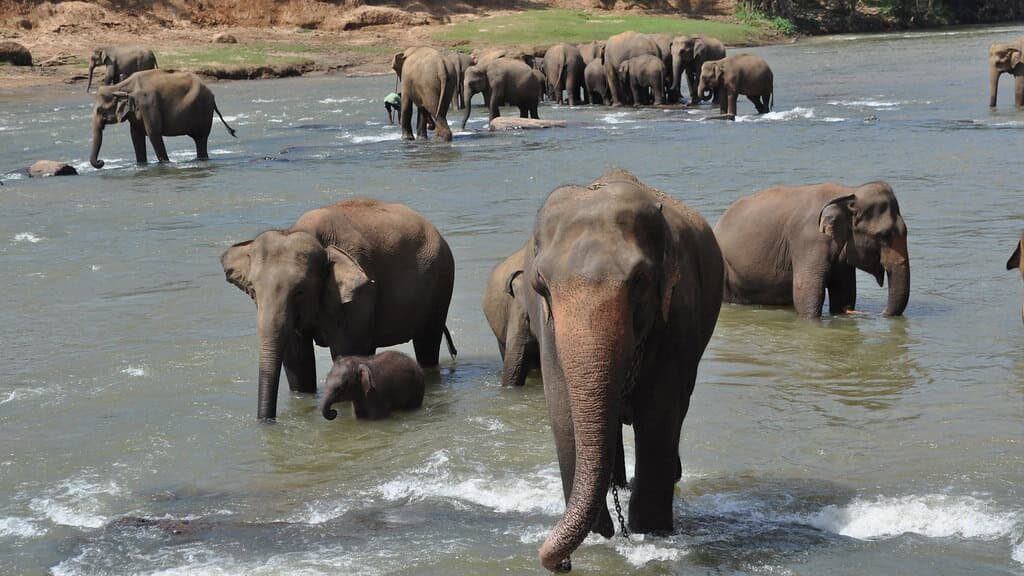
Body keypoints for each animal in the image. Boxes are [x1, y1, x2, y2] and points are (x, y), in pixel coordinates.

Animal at [89, 69, 236, 169]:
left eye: (99, 110)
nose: (101, 162)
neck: (121, 86)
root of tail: (212, 94)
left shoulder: (148, 104)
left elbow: (153, 133)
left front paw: (165, 164)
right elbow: (135, 136)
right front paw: (141, 166)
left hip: (204, 111)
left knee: (201, 139)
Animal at [220, 198, 456, 420]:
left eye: (299, 291)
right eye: (252, 290)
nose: (267, 421)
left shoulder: (358, 294)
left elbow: (344, 351)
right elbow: (297, 360)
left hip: (441, 283)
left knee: (427, 344)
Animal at [520, 169, 723, 572]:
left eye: (640, 280)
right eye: (541, 285)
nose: (563, 564)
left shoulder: (676, 320)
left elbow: (659, 416)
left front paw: (651, 533)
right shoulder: (548, 330)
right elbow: (562, 411)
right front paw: (601, 535)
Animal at [714, 182, 910, 319]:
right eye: (884, 235)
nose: (882, 313)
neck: (848, 193)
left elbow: (844, 294)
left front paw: (843, 311)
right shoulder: (808, 240)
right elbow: (807, 291)